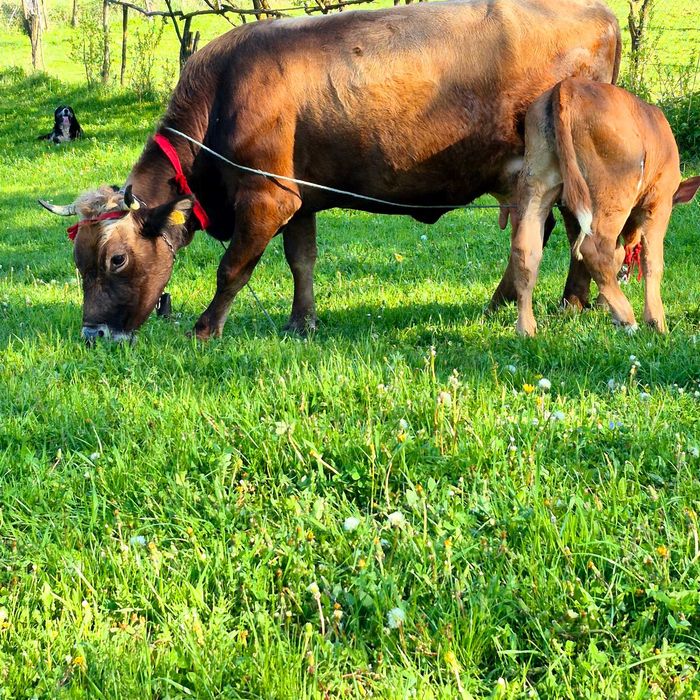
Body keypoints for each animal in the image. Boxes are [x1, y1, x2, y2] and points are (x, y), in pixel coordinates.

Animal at [39, 0, 622, 342]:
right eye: (78, 260)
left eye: (116, 259)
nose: (92, 335)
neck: (222, 96)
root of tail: (600, 12)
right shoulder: (297, 198)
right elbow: (302, 262)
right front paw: (302, 322)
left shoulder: (266, 197)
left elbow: (233, 267)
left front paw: (205, 328)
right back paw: (512, 301)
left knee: (574, 227)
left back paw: (570, 301)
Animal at [504, 77, 700, 337]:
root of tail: (567, 86)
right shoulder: (659, 202)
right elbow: (652, 260)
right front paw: (657, 322)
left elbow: (619, 256)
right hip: (612, 193)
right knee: (593, 249)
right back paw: (627, 318)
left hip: (536, 180)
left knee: (525, 249)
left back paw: (526, 328)